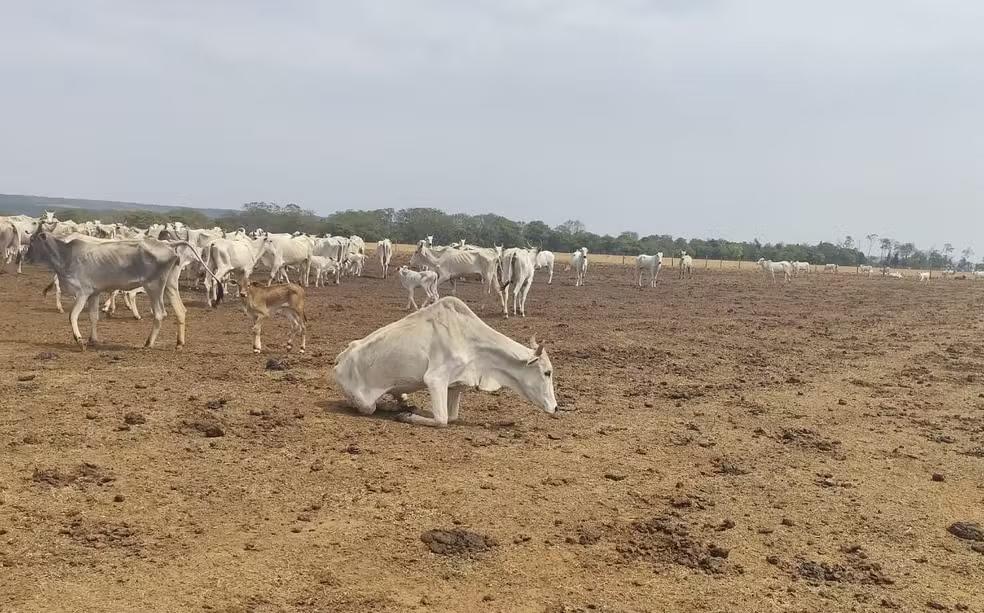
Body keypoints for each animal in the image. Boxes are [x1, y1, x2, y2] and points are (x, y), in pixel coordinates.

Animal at [27, 227, 217, 350]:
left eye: (32, 241)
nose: (26, 257)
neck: (66, 254)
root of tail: (168, 245)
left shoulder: (83, 292)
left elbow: (72, 315)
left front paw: (79, 340)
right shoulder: (94, 293)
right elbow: (93, 317)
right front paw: (93, 340)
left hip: (154, 287)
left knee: (160, 314)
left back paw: (148, 343)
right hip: (170, 284)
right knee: (180, 310)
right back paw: (179, 344)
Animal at [334, 296, 556, 428]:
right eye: (547, 372)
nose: (555, 408)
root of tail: (339, 360)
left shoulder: (456, 384)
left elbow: (452, 417)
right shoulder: (435, 379)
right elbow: (442, 420)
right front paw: (407, 418)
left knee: (399, 396)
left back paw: (402, 403)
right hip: (364, 403)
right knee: (369, 407)